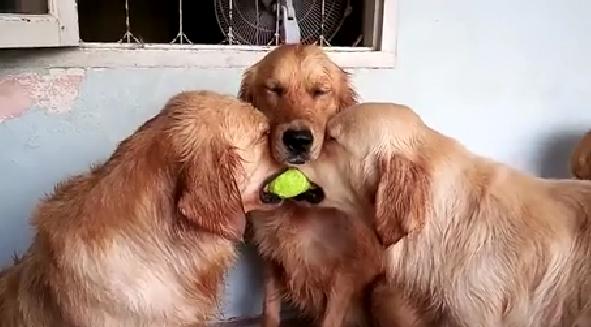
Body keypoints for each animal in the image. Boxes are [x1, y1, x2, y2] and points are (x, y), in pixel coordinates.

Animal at [238, 45, 386, 327]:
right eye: (274, 89)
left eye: (320, 91)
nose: (298, 140)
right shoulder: (271, 260)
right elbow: (270, 312)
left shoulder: (343, 276)